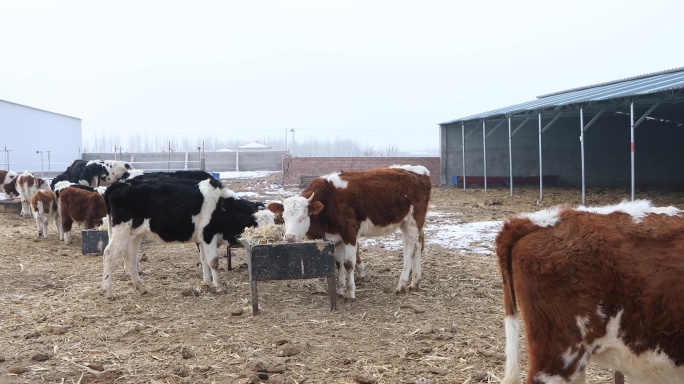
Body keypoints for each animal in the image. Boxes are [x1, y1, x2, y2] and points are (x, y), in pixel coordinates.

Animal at [101, 178, 262, 298]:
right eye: (255, 225)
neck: (221, 206)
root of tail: (117, 185)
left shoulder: (202, 239)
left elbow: (204, 260)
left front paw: (207, 283)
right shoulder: (208, 235)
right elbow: (214, 262)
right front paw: (219, 286)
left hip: (134, 234)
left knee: (130, 257)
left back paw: (141, 288)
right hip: (122, 229)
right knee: (110, 253)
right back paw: (108, 291)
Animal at [266, 165, 430, 304]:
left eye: (302, 217)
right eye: (284, 217)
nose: (289, 237)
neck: (330, 199)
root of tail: (420, 171)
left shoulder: (349, 233)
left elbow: (348, 264)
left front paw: (350, 294)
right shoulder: (336, 238)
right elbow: (339, 264)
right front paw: (339, 290)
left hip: (413, 222)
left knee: (410, 250)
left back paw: (402, 284)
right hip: (407, 223)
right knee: (419, 245)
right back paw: (415, 282)